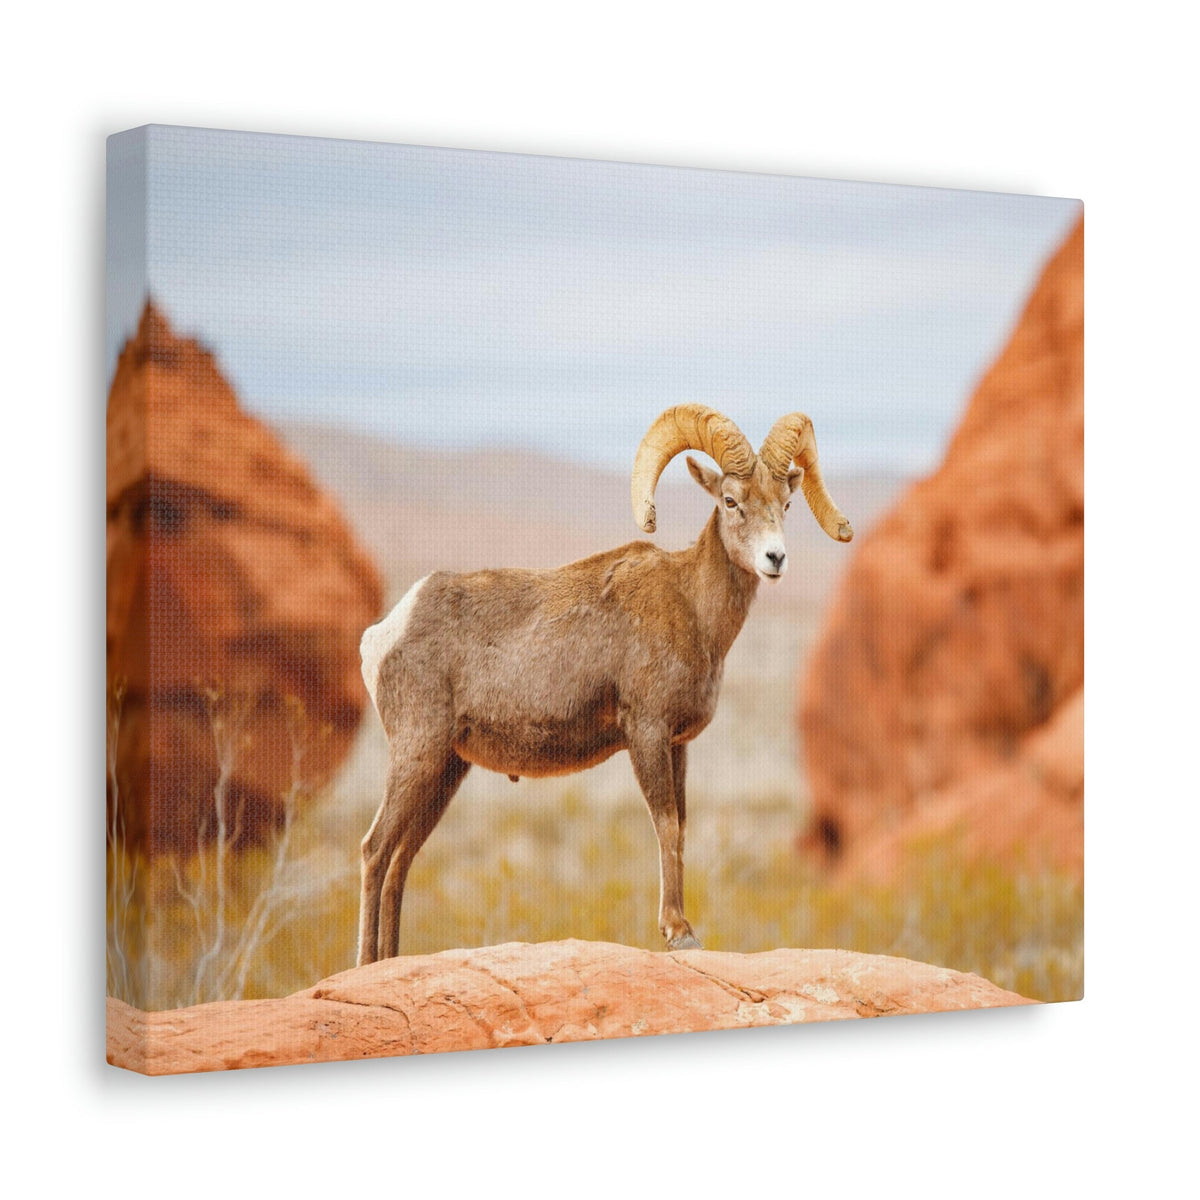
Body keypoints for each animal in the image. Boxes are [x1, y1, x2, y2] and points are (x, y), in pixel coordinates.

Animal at [356, 405, 853, 964]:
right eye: (731, 501)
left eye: (786, 503)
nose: (775, 559)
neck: (693, 610)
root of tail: (384, 633)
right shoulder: (646, 733)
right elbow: (665, 823)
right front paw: (679, 932)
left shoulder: (677, 744)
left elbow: (681, 826)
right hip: (417, 755)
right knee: (376, 850)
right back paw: (366, 963)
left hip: (445, 770)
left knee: (401, 858)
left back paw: (390, 961)